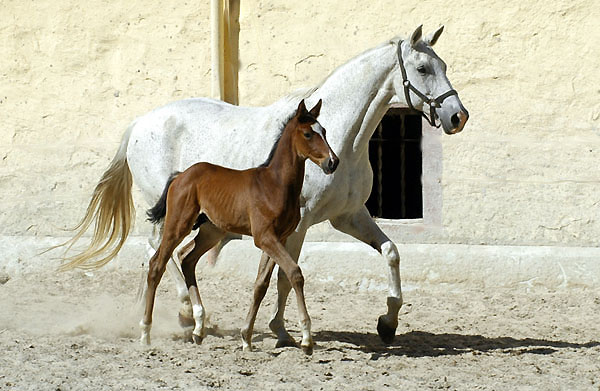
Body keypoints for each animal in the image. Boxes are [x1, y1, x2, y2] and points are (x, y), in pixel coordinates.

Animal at [141, 100, 338, 356]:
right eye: (308, 134)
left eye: (324, 131)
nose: (332, 162)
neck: (275, 185)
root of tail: (181, 175)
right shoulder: (264, 237)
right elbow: (295, 273)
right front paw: (306, 339)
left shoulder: (279, 238)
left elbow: (261, 284)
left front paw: (246, 338)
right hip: (178, 224)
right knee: (157, 264)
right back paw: (145, 333)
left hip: (212, 231)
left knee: (187, 259)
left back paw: (198, 329)